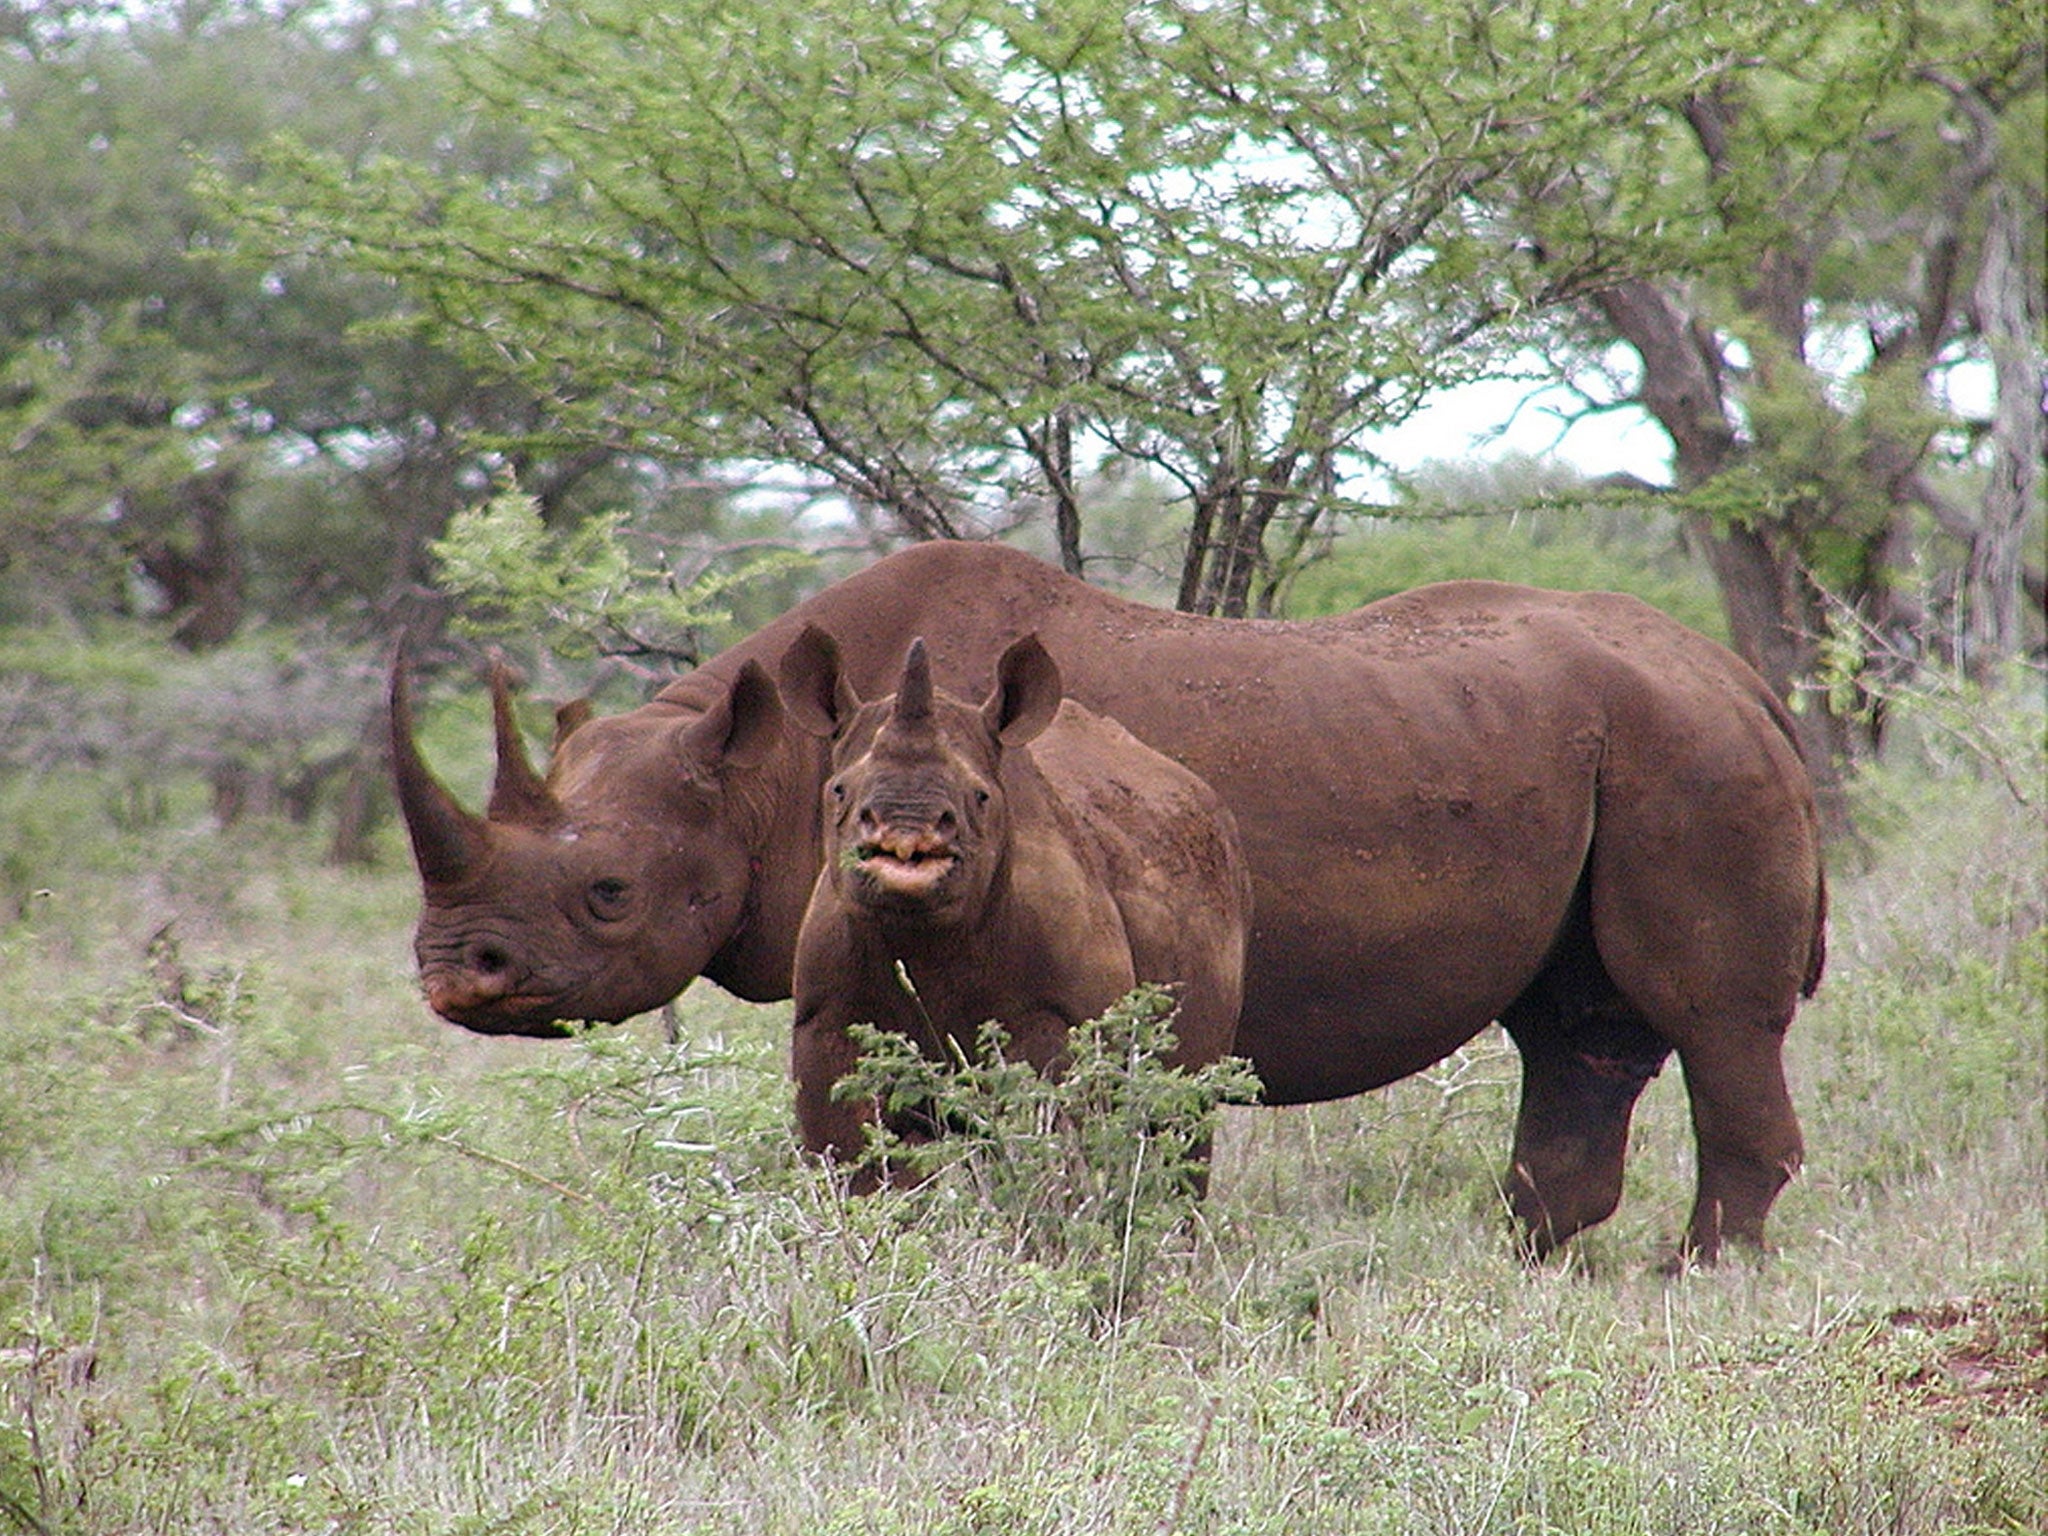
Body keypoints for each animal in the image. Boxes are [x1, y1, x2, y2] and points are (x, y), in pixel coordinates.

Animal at [775, 626, 1250, 1171]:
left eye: (980, 796)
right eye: (838, 790)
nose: (906, 828)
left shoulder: (1059, 1017)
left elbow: (1050, 1143)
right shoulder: (827, 1021)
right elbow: (856, 1158)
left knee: (1182, 1119)